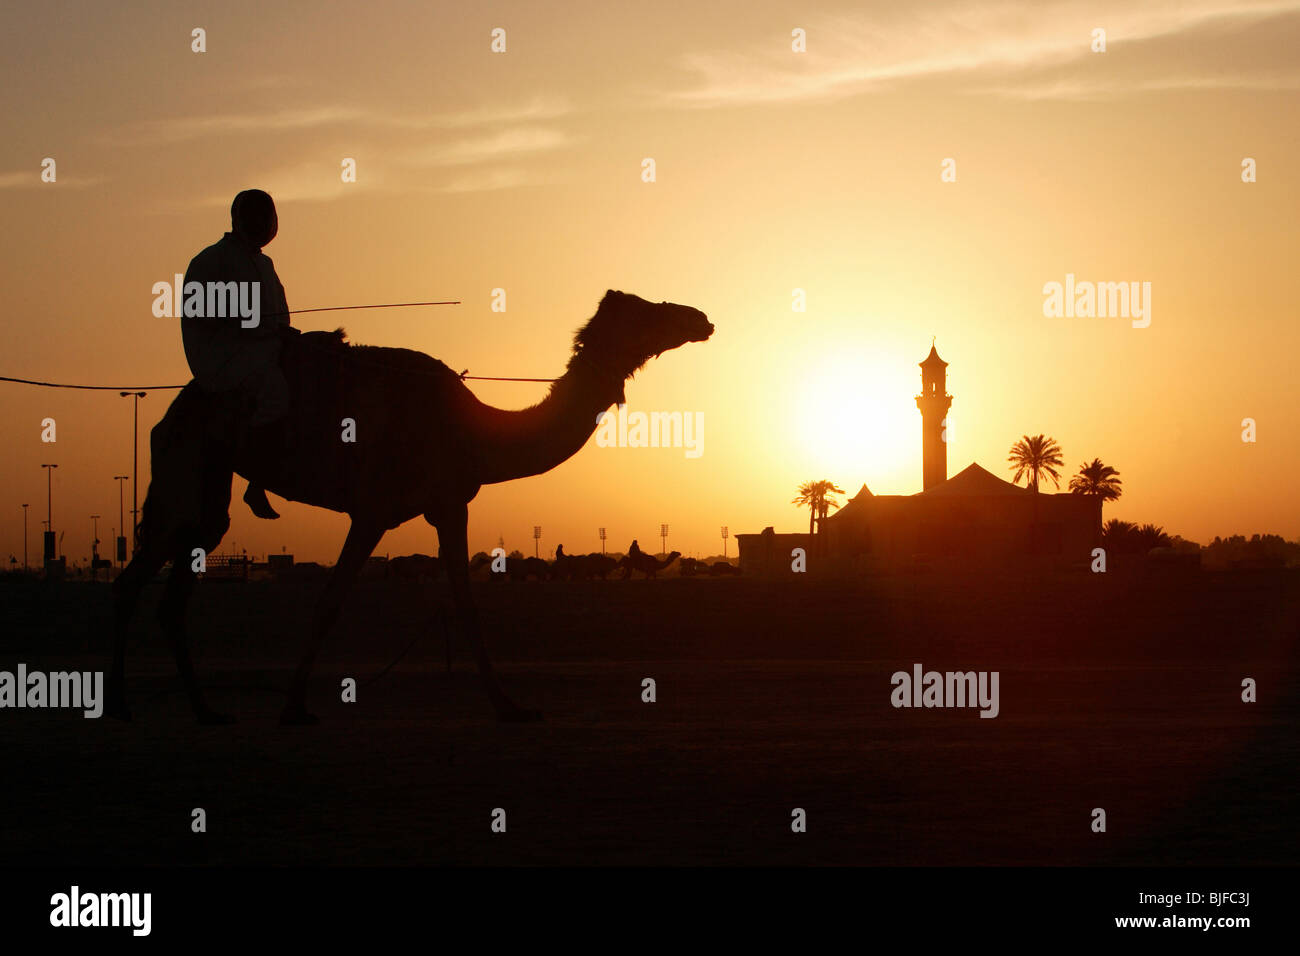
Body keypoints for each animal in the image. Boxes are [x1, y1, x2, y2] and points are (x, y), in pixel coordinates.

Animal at [109, 291, 712, 723]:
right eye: (647, 310)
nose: (700, 318)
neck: (476, 430)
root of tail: (171, 410)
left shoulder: (448, 504)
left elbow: (467, 605)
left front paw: (510, 706)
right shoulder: (373, 508)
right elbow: (329, 602)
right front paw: (293, 707)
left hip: (207, 487)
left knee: (175, 576)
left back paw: (203, 709)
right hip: (188, 467)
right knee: (140, 575)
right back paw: (122, 706)